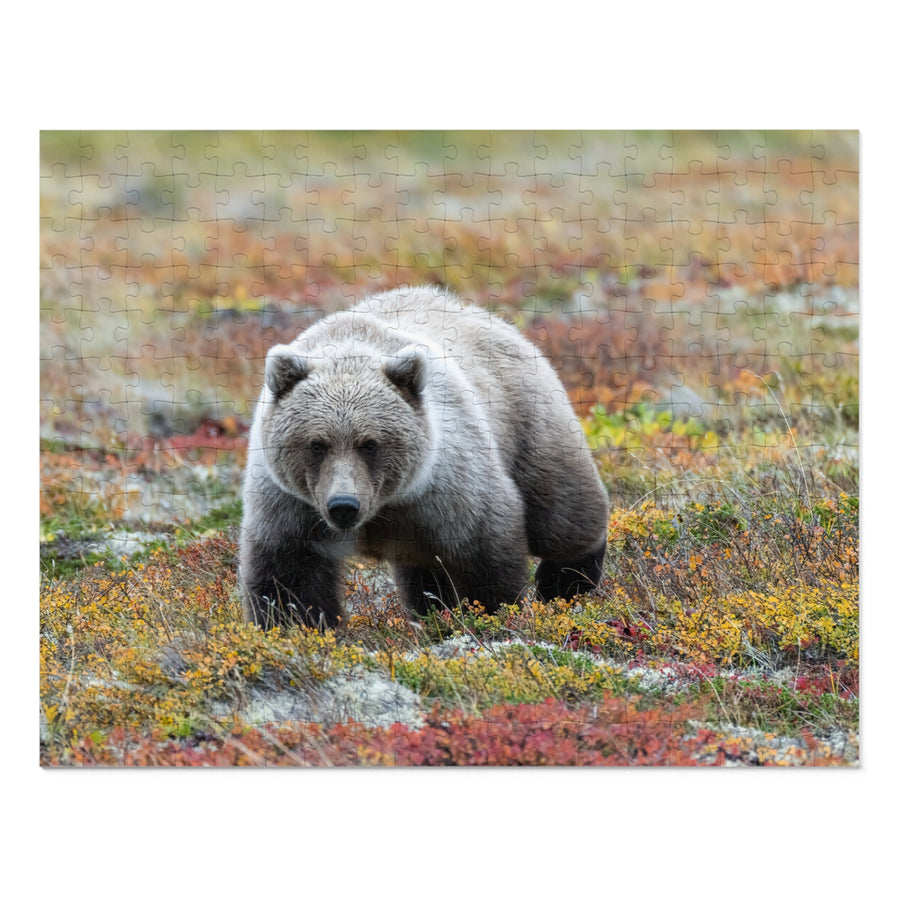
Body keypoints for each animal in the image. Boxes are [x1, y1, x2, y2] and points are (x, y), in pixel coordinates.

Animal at [238, 285, 609, 629]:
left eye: (369, 444)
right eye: (317, 444)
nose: (344, 505)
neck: (384, 506)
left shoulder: (446, 487)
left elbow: (486, 548)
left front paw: (493, 611)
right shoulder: (291, 504)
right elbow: (289, 577)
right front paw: (294, 625)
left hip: (528, 423)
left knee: (560, 511)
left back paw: (565, 582)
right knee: (427, 572)